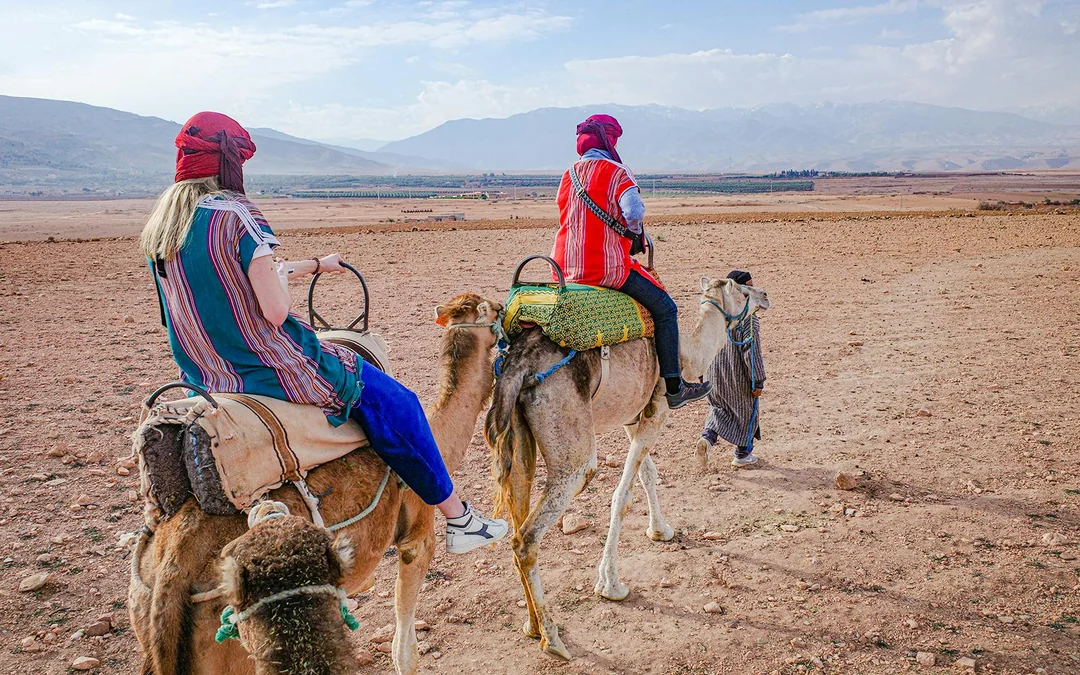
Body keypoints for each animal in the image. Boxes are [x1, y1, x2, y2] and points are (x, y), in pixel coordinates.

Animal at [485, 276, 770, 659]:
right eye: (741, 291)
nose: (764, 296)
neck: (689, 352)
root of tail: (518, 366)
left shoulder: (634, 417)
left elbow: (648, 474)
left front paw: (661, 530)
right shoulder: (658, 410)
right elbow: (621, 496)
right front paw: (610, 584)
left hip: (516, 439)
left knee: (517, 506)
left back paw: (531, 626)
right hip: (573, 448)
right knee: (527, 536)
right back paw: (553, 639)